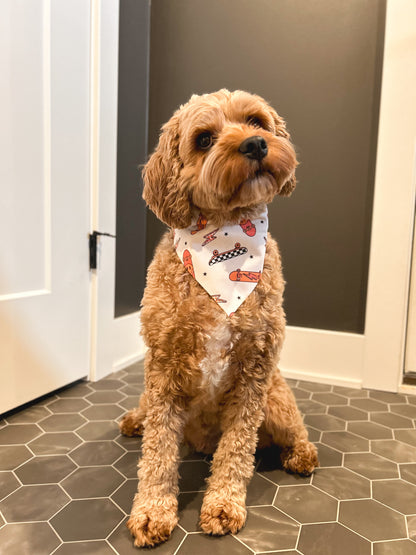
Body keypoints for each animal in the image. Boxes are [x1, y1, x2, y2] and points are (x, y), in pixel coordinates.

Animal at [118, 89, 320, 544]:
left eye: (257, 121)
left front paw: (223, 506)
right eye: (205, 139)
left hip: (276, 400)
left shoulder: (254, 373)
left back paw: (301, 454)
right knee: (147, 416)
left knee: (294, 429)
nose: (256, 144)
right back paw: (134, 420)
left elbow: (237, 449)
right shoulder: (163, 372)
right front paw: (152, 511)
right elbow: (158, 450)